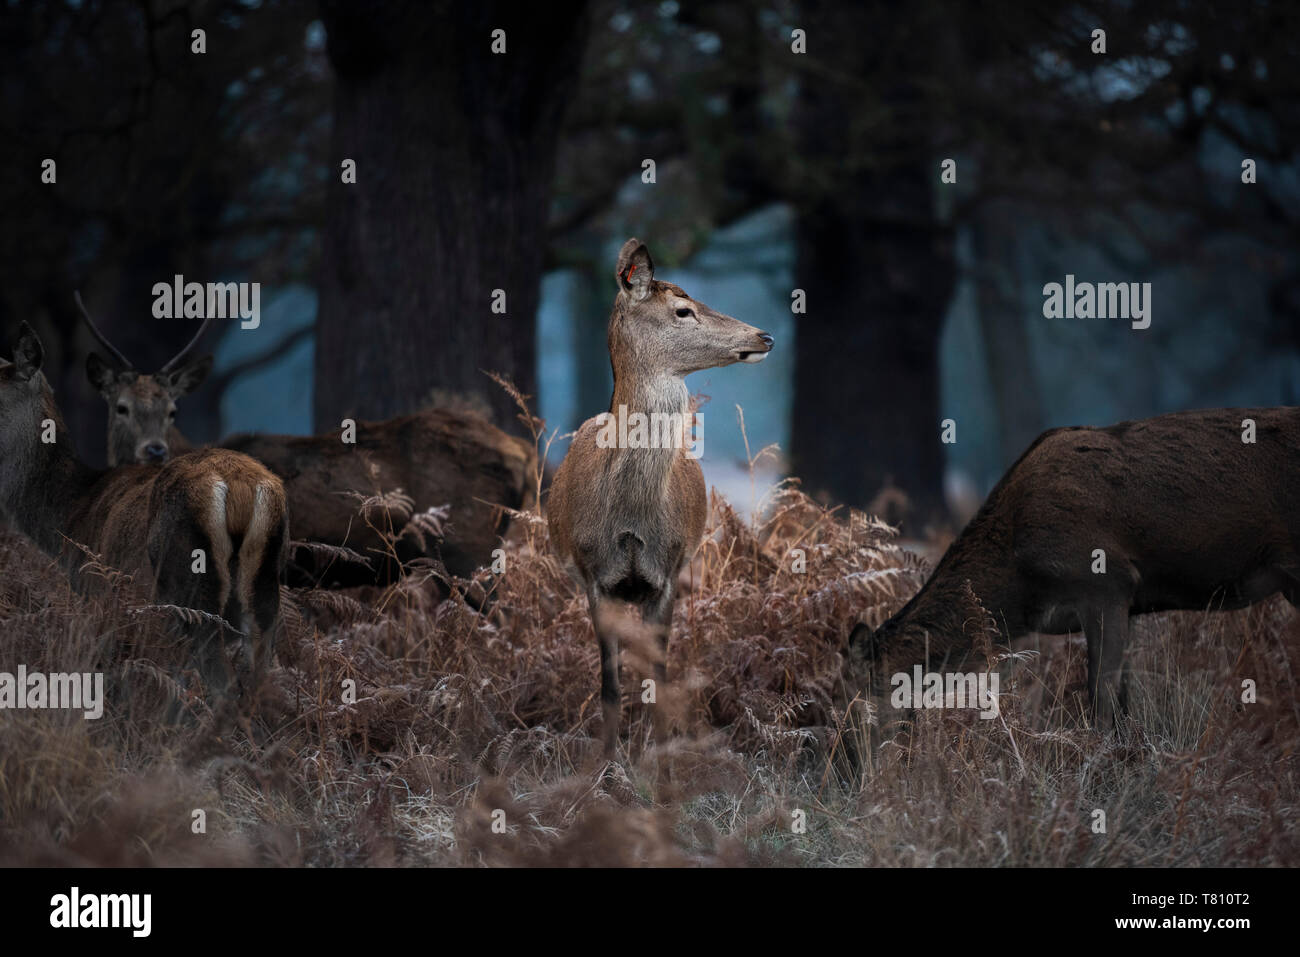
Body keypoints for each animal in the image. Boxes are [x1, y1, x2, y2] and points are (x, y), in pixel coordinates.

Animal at [0, 321, 286, 702]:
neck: (73, 512)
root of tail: (240, 486)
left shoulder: (98, 595)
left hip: (192, 588)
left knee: (223, 686)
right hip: (264, 590)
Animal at [546, 237, 769, 754]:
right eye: (683, 310)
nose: (765, 336)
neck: (629, 518)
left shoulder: (666, 573)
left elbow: (657, 683)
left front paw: (659, 764)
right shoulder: (594, 575)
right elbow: (609, 687)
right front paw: (606, 766)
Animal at [847, 408, 1300, 728]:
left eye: (862, 701)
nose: (849, 769)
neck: (1021, 591)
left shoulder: (1108, 583)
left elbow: (1100, 699)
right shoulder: (1126, 604)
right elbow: (1122, 700)